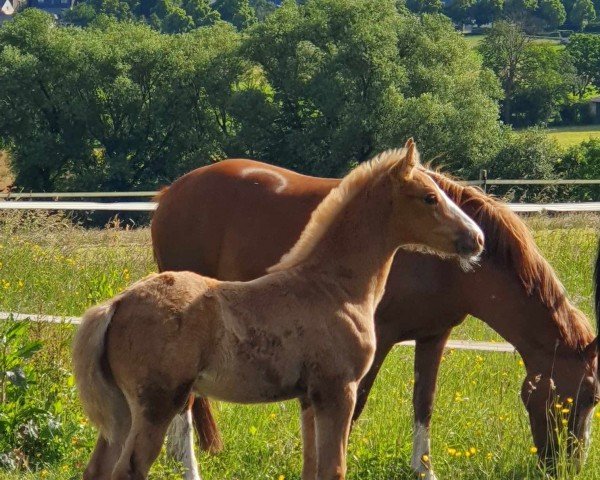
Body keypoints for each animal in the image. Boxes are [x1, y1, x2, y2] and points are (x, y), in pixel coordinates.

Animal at [72, 142, 482, 480]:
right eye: (430, 198)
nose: (476, 239)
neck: (333, 286)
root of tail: (116, 304)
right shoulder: (338, 389)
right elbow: (334, 469)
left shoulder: (309, 398)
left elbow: (311, 469)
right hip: (155, 405)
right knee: (128, 470)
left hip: (122, 413)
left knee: (97, 469)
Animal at [154, 156, 600, 478]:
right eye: (578, 397)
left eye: (593, 399)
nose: (566, 467)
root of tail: (170, 192)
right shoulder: (377, 340)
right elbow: (355, 407)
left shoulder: (434, 335)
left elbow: (424, 402)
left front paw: (423, 470)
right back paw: (185, 463)